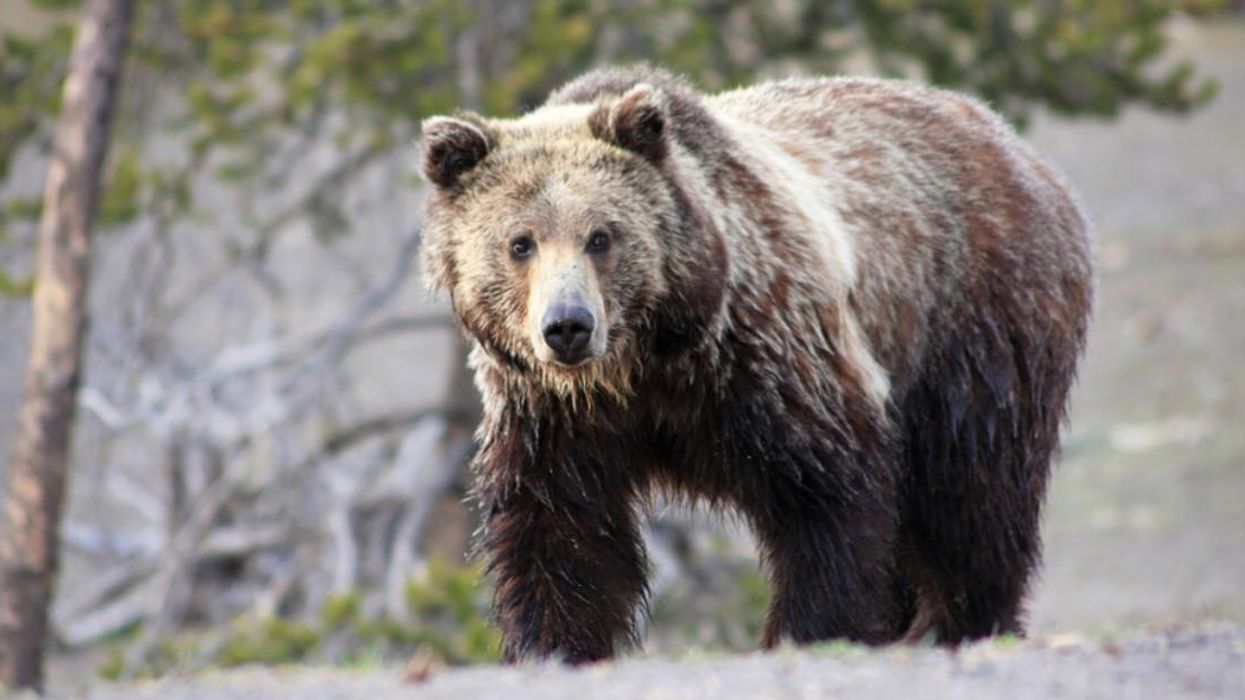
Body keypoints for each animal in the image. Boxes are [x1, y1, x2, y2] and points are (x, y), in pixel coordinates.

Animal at [417, 65, 1093, 663]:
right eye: (520, 243)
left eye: (602, 236)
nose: (567, 326)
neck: (647, 364)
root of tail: (1018, 146)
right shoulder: (554, 417)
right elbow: (561, 532)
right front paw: (556, 645)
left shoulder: (769, 362)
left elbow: (828, 500)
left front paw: (810, 630)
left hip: (973, 326)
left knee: (973, 494)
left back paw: (966, 621)